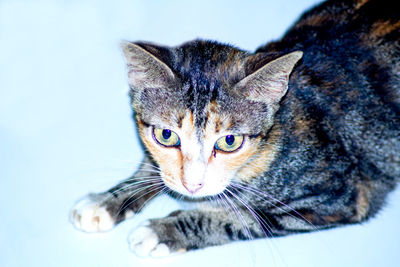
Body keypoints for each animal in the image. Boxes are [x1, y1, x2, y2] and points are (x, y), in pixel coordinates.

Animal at [70, 0, 398, 260]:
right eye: (166, 136)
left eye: (229, 141)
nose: (193, 185)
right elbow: (156, 169)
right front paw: (106, 200)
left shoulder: (343, 194)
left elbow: (241, 216)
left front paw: (163, 231)